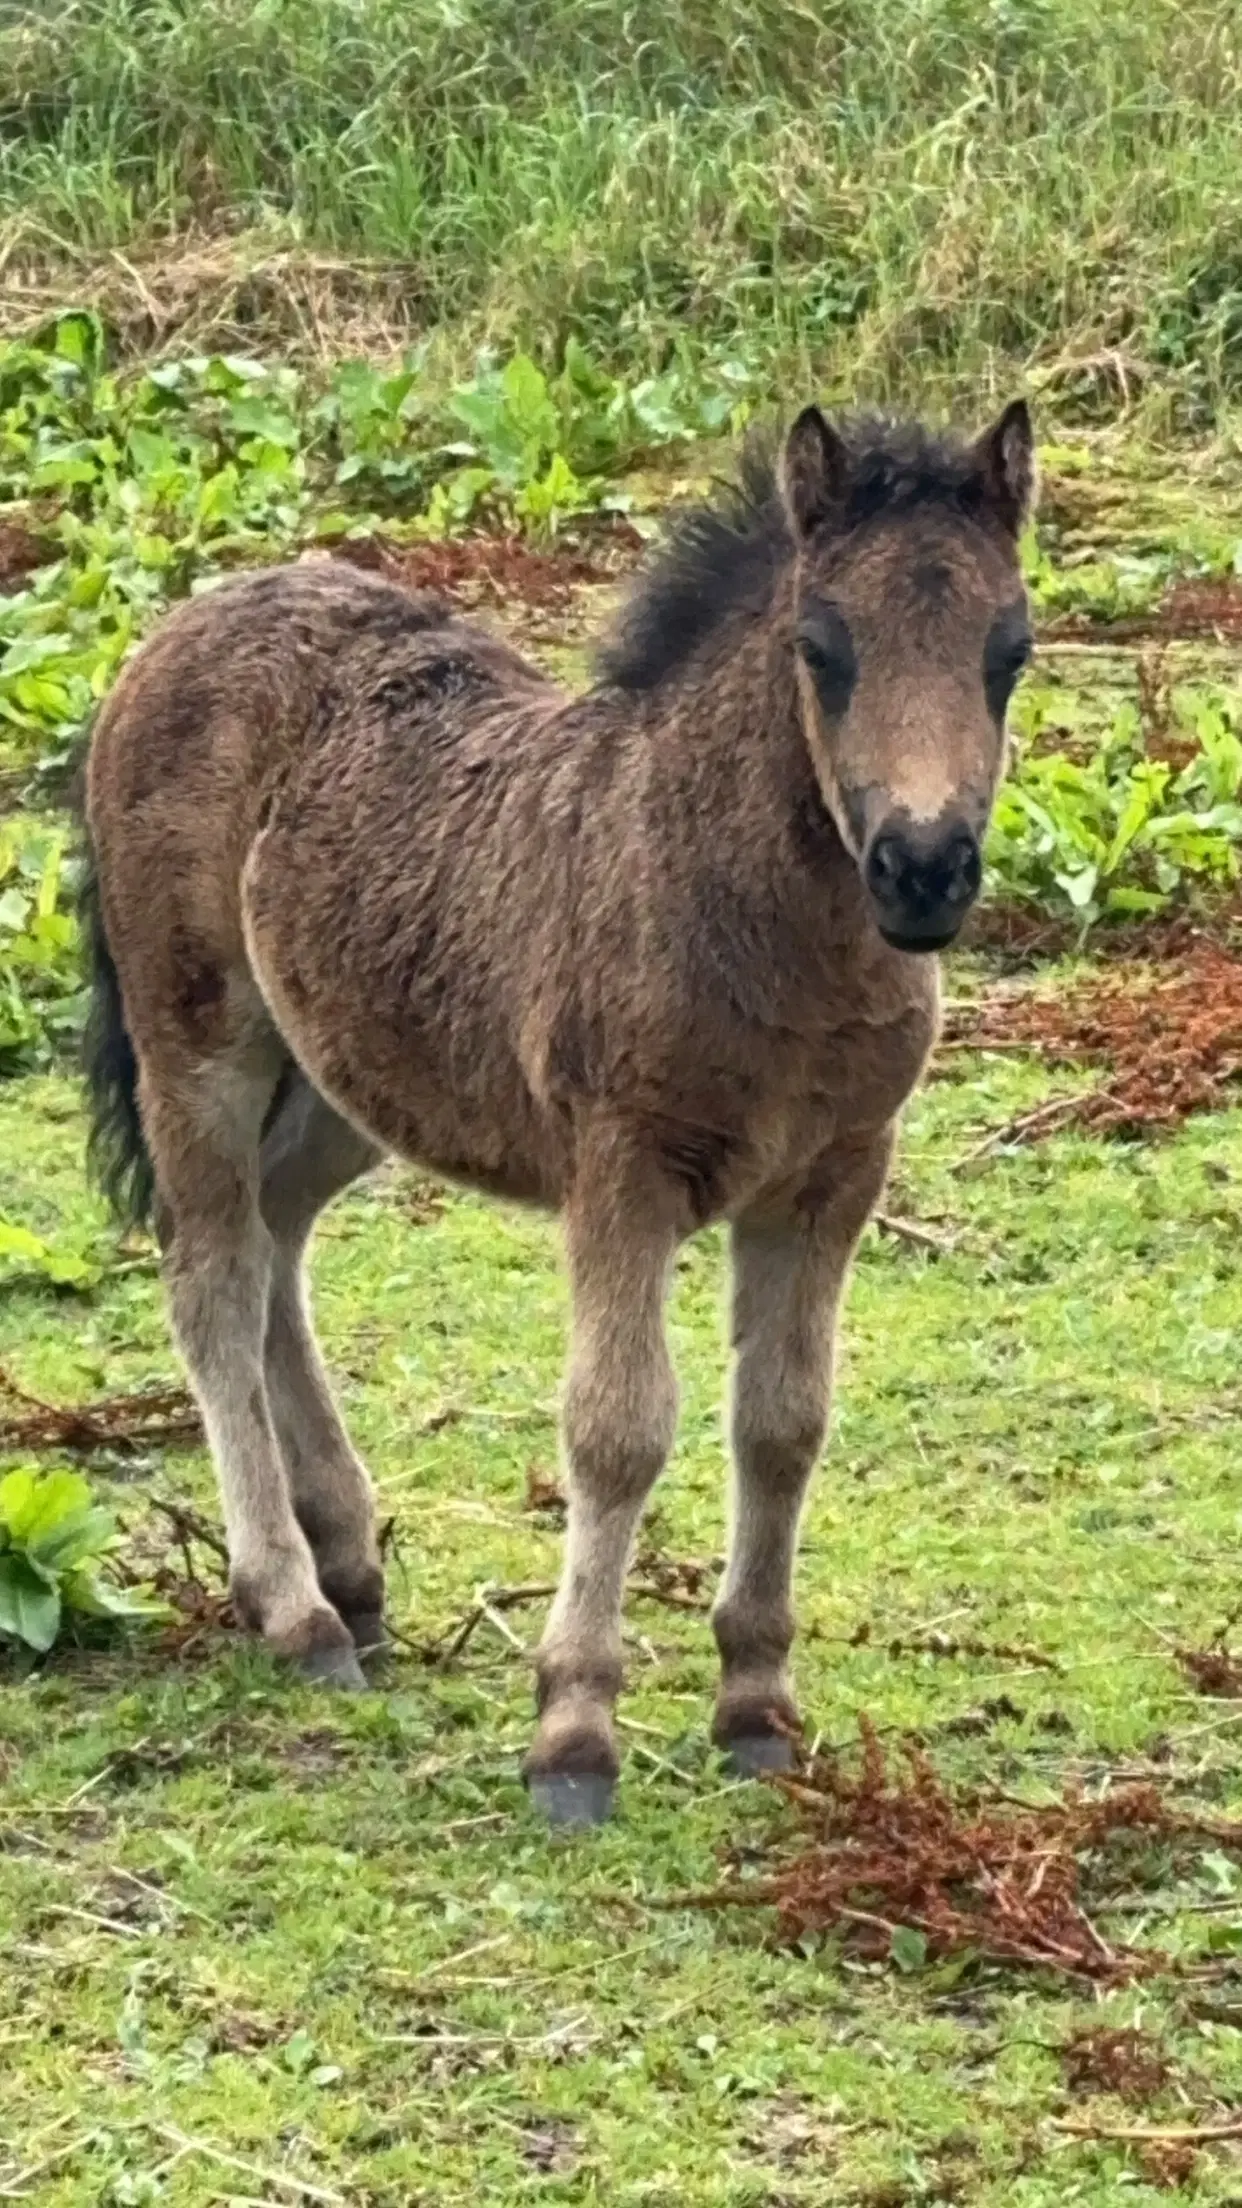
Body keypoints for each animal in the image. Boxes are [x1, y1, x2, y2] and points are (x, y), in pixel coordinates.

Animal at [82, 406, 1034, 1819]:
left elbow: (785, 1424)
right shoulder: (622, 1168)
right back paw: (297, 1611)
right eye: (822, 649)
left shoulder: (833, 1178)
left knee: (272, 1245)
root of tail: (184, 621)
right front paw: (573, 1734)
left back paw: (351, 1565)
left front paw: (756, 1707)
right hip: (200, 1040)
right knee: (210, 1279)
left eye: (1010, 653)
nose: (923, 872)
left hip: (352, 1069)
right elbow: (618, 1429)